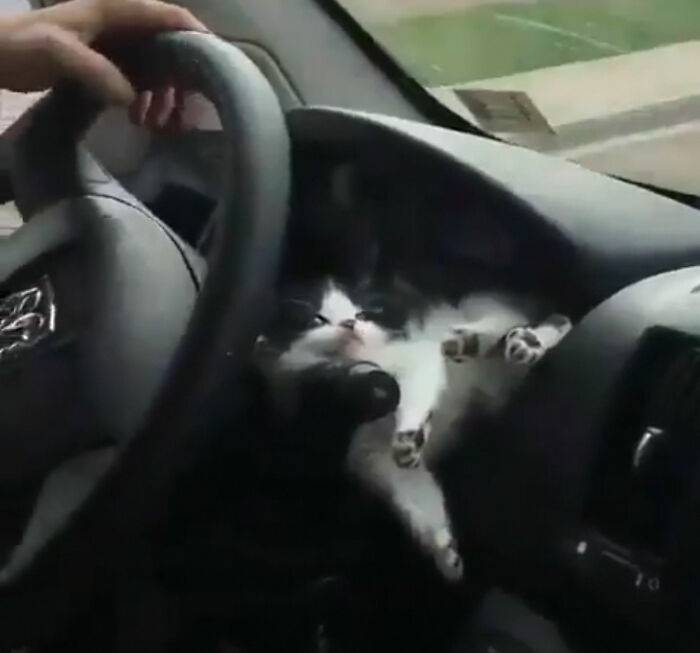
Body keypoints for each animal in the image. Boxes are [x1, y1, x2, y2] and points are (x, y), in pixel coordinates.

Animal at [255, 277, 571, 582]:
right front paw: (444, 549)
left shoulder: (416, 353)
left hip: (479, 309)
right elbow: (414, 491)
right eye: (318, 319)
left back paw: (508, 340)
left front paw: (409, 433)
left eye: (362, 314)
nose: (349, 324)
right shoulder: (370, 449)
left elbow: (417, 383)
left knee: (519, 318)